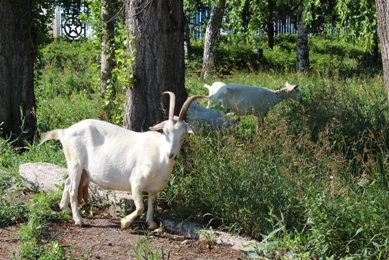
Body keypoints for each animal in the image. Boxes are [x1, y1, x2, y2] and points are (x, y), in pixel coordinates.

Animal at [38, 91, 205, 230]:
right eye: (165, 132)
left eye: (183, 136)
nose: (170, 155)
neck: (159, 153)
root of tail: (64, 132)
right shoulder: (136, 182)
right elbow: (140, 207)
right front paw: (125, 223)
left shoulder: (153, 188)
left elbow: (152, 204)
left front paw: (151, 223)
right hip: (76, 161)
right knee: (73, 188)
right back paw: (78, 220)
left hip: (77, 166)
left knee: (67, 182)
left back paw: (65, 209)